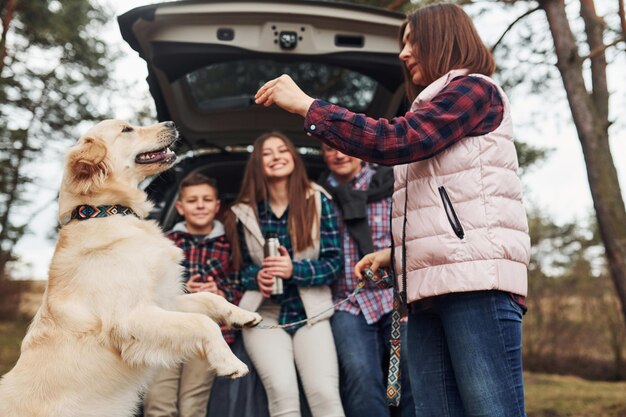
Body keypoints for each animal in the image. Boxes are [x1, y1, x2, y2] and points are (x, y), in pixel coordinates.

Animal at [0, 119, 260, 416]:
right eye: (127, 129)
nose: (171, 123)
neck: (107, 211)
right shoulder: (130, 317)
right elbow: (202, 322)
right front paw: (230, 362)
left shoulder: (162, 299)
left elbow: (208, 298)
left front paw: (243, 315)